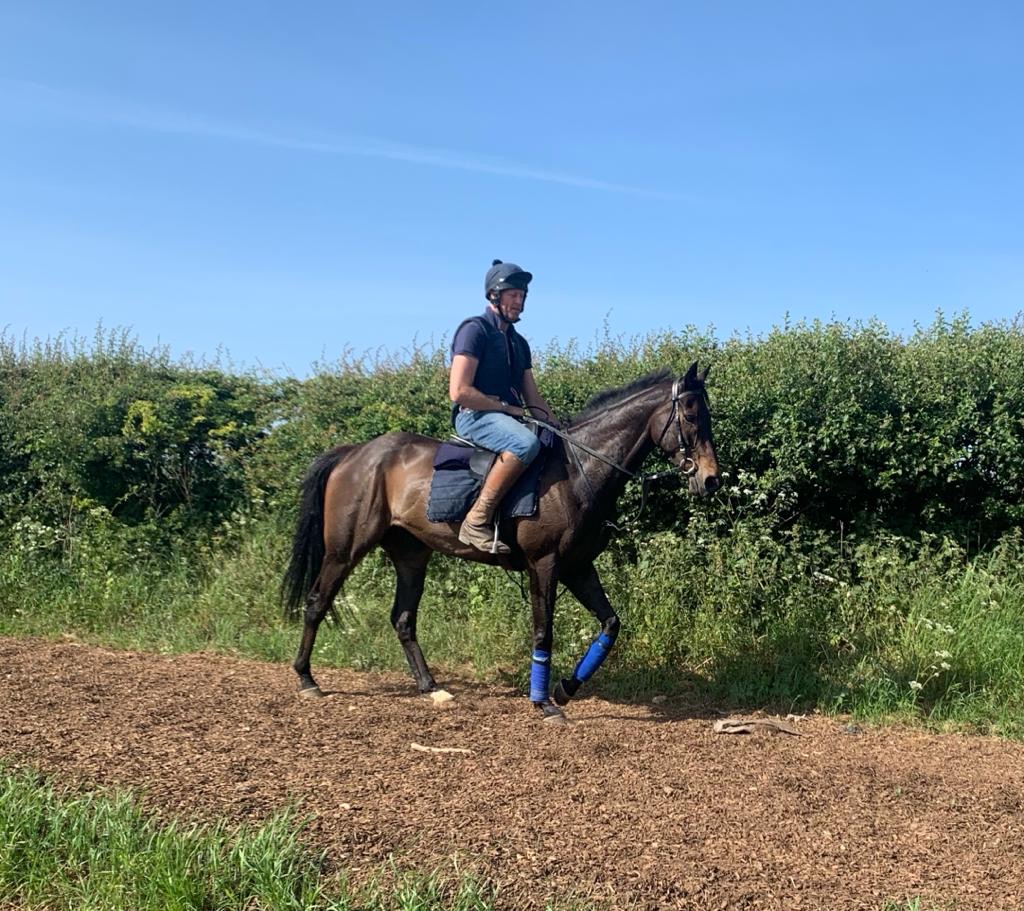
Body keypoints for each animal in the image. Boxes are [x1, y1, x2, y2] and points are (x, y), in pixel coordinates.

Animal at [280, 358, 720, 720]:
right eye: (691, 413)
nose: (711, 479)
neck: (578, 470)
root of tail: (356, 453)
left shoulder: (577, 566)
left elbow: (610, 625)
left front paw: (565, 689)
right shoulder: (544, 564)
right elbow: (543, 632)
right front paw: (543, 703)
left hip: (411, 555)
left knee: (403, 619)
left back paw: (430, 686)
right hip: (344, 549)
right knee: (317, 602)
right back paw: (306, 678)